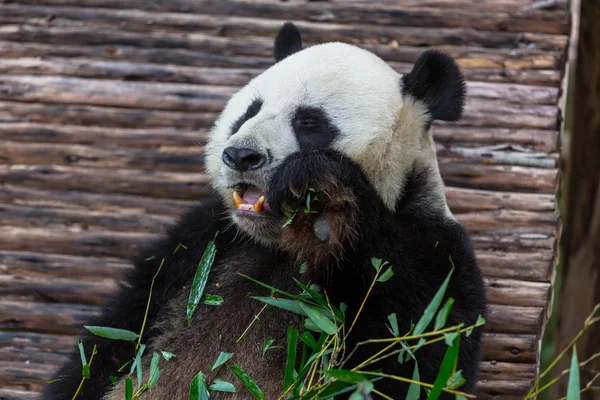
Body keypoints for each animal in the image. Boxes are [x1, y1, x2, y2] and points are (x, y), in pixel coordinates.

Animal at [45, 22, 488, 400]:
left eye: (310, 122)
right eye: (250, 110)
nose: (242, 155)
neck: (281, 245)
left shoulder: (433, 251)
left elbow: (413, 355)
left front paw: (325, 205)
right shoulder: (200, 244)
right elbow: (116, 339)